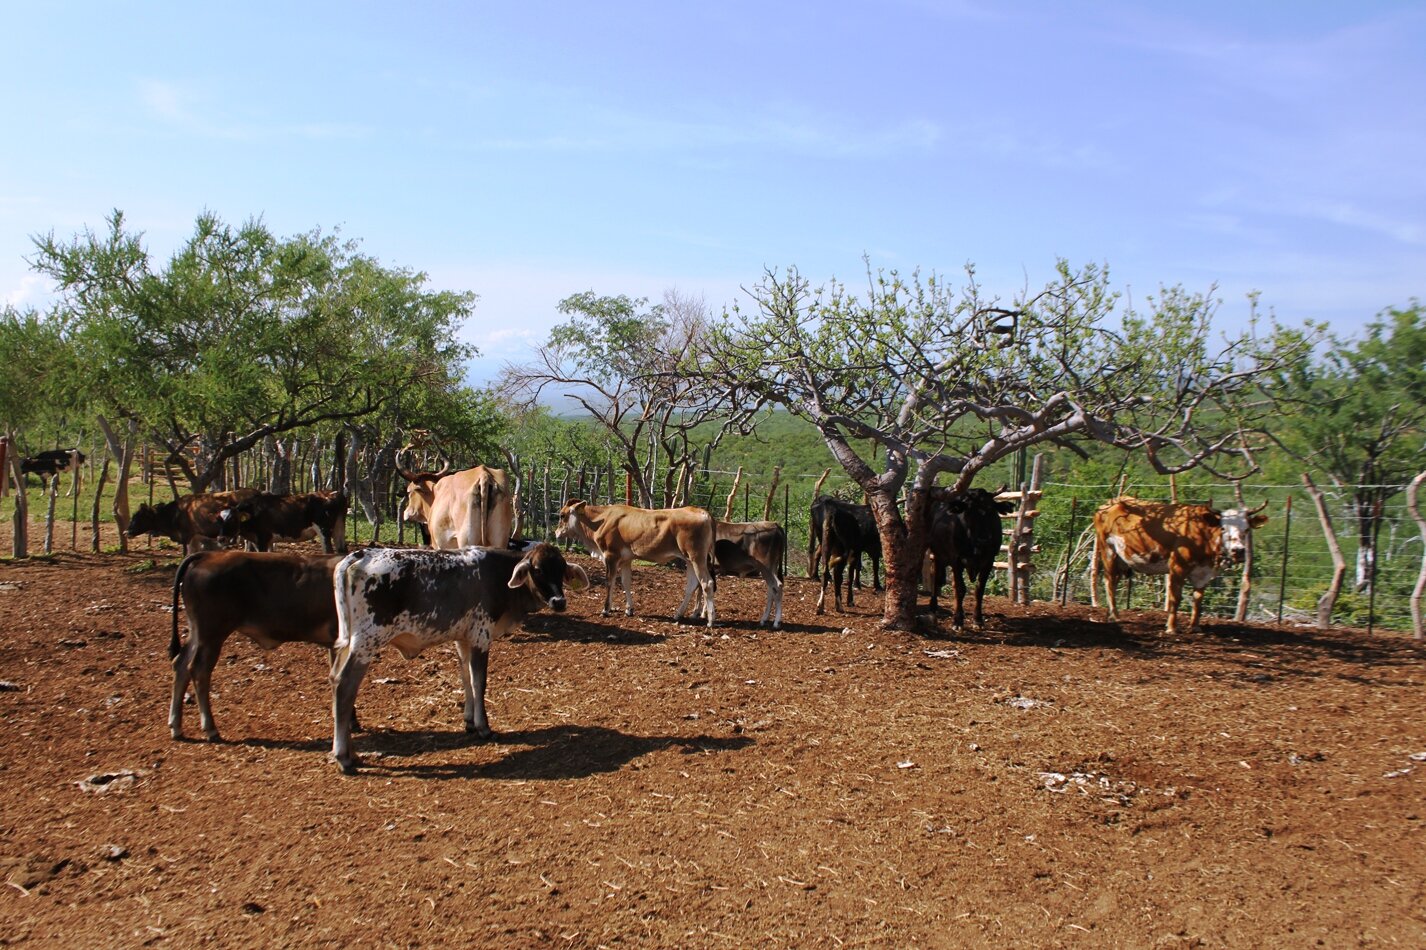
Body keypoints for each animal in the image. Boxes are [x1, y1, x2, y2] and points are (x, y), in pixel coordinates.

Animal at [327, 539, 584, 770]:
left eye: (562, 569)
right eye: (538, 569)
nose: (559, 601)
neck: (498, 575)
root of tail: (361, 554)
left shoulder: (463, 639)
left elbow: (466, 678)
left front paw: (469, 721)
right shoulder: (481, 636)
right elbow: (479, 681)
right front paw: (483, 726)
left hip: (349, 643)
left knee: (335, 679)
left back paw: (351, 752)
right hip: (366, 642)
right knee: (345, 686)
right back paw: (343, 756)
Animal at [553, 499, 718, 624]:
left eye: (562, 515)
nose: (556, 532)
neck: (600, 521)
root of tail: (703, 512)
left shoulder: (610, 556)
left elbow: (609, 581)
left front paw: (606, 609)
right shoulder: (626, 559)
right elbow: (626, 582)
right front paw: (629, 609)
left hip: (697, 557)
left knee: (706, 583)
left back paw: (710, 620)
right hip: (690, 560)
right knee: (692, 585)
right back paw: (678, 614)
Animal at [924, 487, 1015, 627]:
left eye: (991, 509)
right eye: (968, 511)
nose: (984, 539)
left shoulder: (989, 561)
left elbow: (979, 590)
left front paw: (978, 619)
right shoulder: (956, 560)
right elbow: (960, 589)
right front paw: (957, 620)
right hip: (938, 554)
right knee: (937, 579)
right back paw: (933, 606)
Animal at [1089, 490, 1271, 633]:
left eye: (1246, 529)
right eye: (1223, 528)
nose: (1238, 550)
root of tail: (1110, 504)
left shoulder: (1203, 573)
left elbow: (1198, 599)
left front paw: (1194, 626)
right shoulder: (1177, 566)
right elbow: (1175, 597)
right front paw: (1171, 627)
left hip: (1122, 558)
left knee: (1113, 581)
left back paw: (1110, 614)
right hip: (1108, 550)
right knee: (1109, 581)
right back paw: (1114, 615)